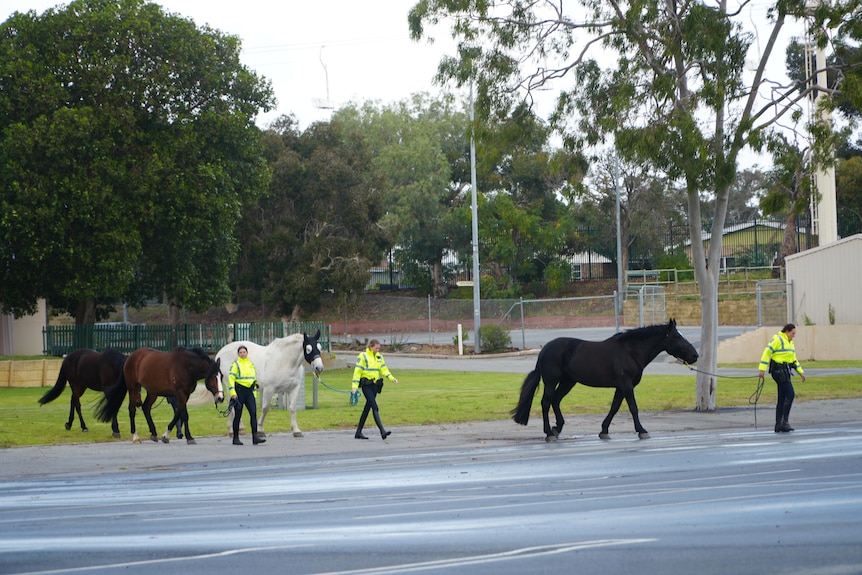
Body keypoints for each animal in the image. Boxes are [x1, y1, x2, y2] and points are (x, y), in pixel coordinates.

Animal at [511, 319, 699, 442]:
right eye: (677, 337)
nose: (695, 355)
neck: (630, 352)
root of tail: (544, 350)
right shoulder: (626, 385)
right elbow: (633, 408)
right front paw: (642, 430)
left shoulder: (621, 387)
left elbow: (614, 407)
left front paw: (604, 430)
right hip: (551, 381)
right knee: (546, 402)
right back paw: (549, 433)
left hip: (568, 382)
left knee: (555, 401)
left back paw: (557, 428)